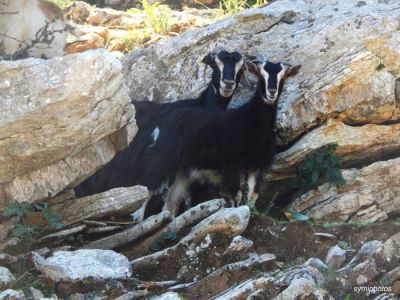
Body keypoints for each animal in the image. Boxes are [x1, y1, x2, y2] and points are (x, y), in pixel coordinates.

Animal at [142, 59, 302, 218]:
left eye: (283, 76)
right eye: (260, 75)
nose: (271, 92)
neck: (251, 123)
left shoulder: (256, 166)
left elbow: (253, 195)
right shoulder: (233, 164)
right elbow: (237, 195)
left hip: (183, 170)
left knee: (171, 201)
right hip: (163, 162)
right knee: (150, 192)